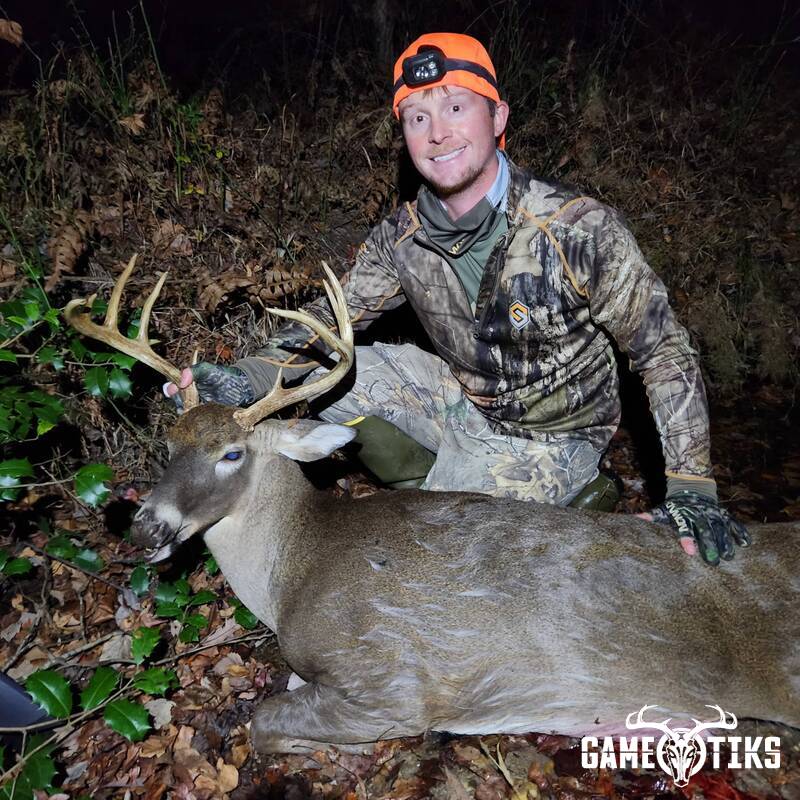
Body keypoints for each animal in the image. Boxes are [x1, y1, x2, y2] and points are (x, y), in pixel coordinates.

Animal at [65, 255, 800, 754]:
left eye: (232, 454)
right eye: (170, 443)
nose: (145, 526)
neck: (292, 572)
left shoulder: (390, 682)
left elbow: (263, 724)